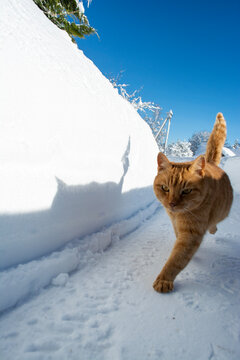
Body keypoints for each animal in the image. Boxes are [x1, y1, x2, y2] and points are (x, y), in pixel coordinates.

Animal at [153, 112, 233, 292]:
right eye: (165, 188)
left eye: (186, 191)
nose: (172, 204)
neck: (178, 217)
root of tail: (209, 162)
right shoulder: (176, 224)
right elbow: (179, 244)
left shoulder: (191, 232)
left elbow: (178, 257)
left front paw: (164, 279)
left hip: (222, 213)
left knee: (214, 224)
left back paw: (213, 229)